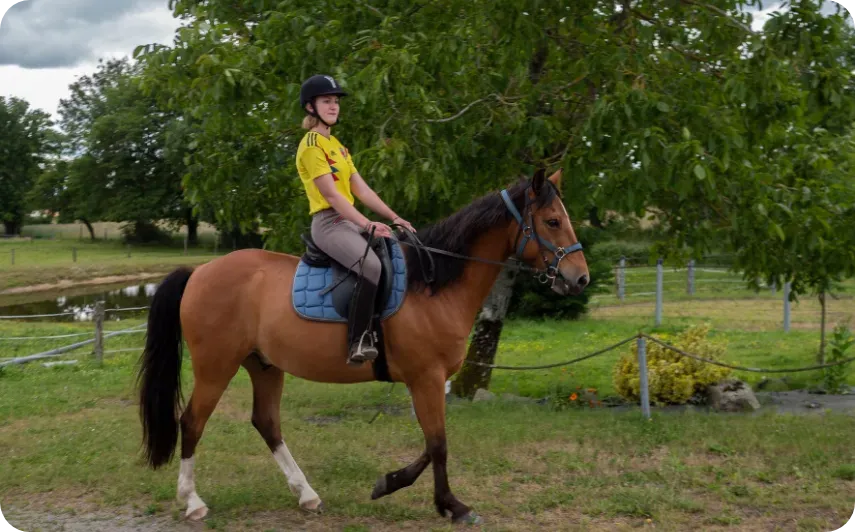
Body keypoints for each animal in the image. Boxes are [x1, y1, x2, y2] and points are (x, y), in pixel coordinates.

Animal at [135, 167, 589, 525]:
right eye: (552, 221)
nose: (580, 277)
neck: (433, 283)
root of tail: (199, 273)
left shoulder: (428, 382)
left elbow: (432, 443)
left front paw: (391, 484)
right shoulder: (426, 379)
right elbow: (438, 444)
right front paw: (451, 505)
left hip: (264, 365)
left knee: (267, 423)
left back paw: (306, 495)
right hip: (216, 366)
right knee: (192, 422)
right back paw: (193, 502)